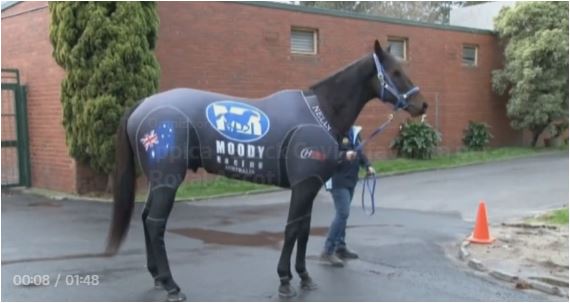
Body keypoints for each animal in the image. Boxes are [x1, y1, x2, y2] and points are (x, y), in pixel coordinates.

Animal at [106, 39, 426, 302]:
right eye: (395, 72)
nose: (420, 104)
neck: (321, 112)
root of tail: (143, 105)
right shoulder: (303, 186)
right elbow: (292, 229)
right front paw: (285, 280)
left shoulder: (309, 187)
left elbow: (304, 230)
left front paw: (305, 277)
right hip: (168, 181)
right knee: (155, 223)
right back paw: (171, 285)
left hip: (159, 181)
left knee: (146, 218)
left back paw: (157, 277)